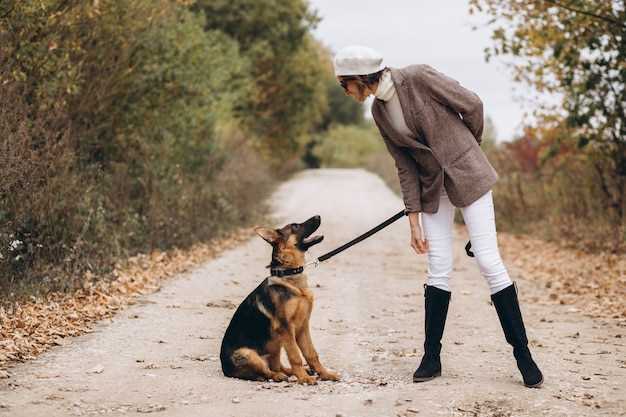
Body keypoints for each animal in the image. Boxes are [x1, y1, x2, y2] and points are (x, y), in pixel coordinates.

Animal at [218, 214, 338, 384]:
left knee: (276, 365)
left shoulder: (302, 327)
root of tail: (225, 370)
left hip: (276, 343)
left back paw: (293, 372)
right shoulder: (286, 327)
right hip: (249, 353)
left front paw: (325, 374)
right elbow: (295, 356)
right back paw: (280, 376)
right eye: (295, 226)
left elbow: (311, 354)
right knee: (266, 371)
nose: (318, 216)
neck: (289, 274)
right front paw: (303, 378)